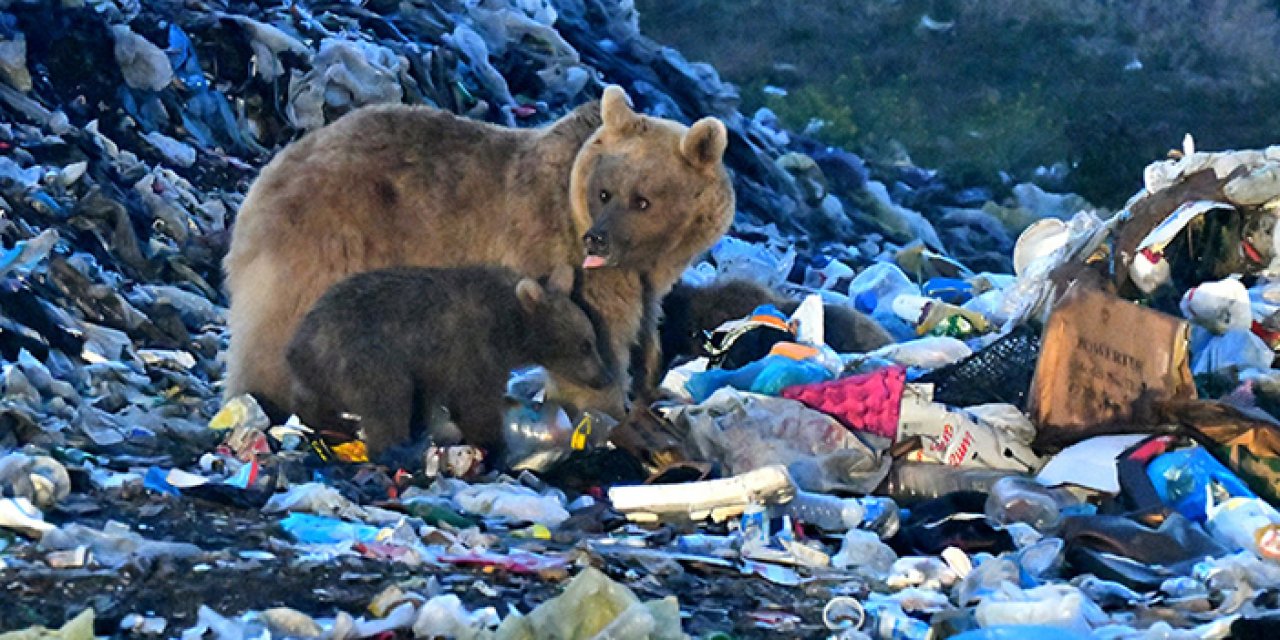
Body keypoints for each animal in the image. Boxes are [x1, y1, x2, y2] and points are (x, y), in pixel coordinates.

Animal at [225, 85, 737, 419]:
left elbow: (646, 333)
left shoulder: (647, 280)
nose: (597, 239)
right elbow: (600, 337)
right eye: (605, 192)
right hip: (332, 236)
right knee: (283, 322)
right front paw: (602, 408)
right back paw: (270, 396)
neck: (650, 258)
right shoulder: (573, 260)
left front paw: (652, 390)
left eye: (643, 200)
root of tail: (276, 163)